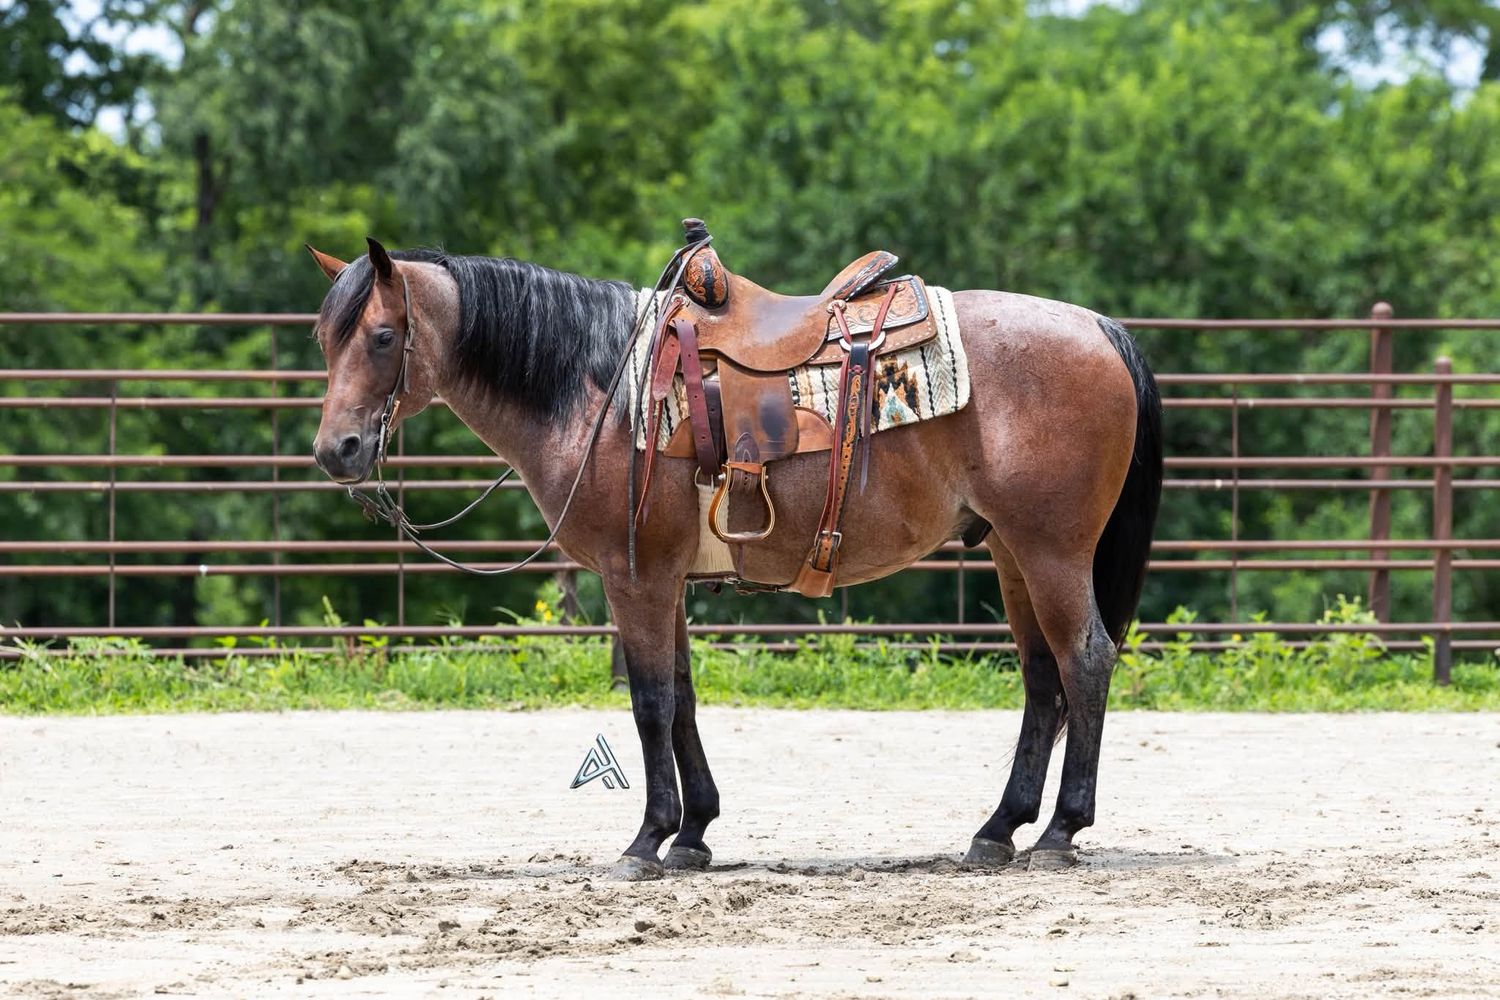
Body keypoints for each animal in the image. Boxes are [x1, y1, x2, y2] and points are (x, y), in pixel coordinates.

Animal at [305, 236, 1163, 879]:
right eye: (324, 338)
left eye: (382, 337)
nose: (335, 450)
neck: (597, 390)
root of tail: (1099, 327)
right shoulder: (666, 580)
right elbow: (682, 698)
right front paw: (693, 834)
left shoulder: (637, 579)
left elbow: (650, 703)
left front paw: (647, 839)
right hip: (1013, 554)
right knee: (1043, 679)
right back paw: (998, 829)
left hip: (1051, 551)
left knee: (1085, 660)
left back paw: (1059, 832)